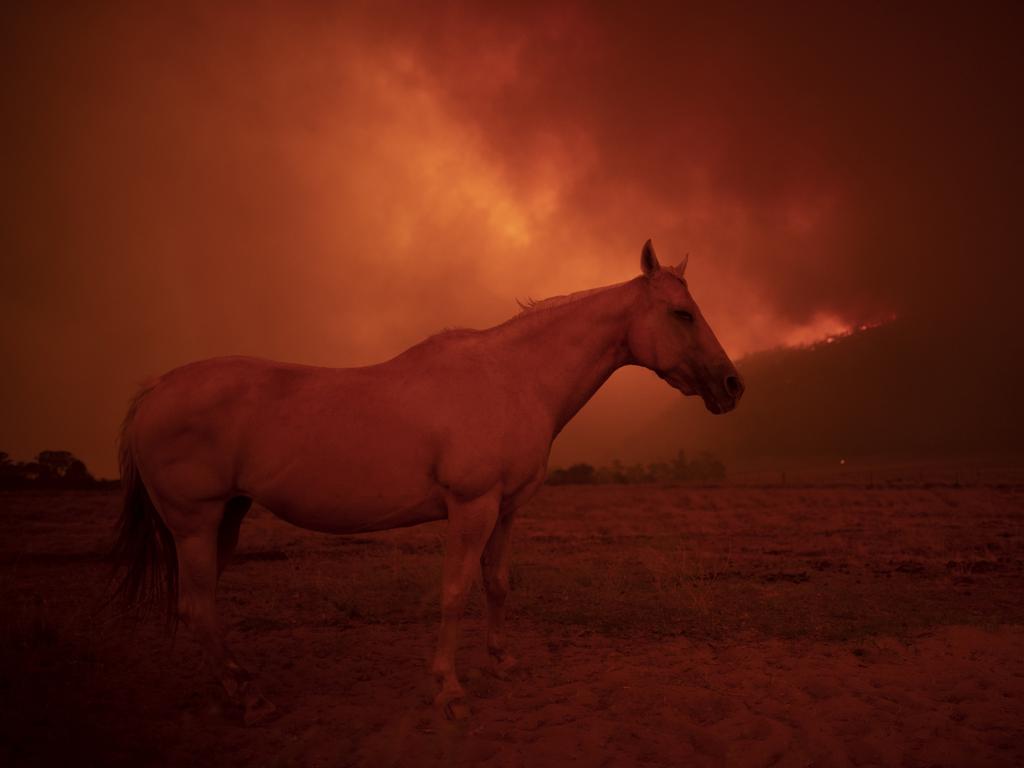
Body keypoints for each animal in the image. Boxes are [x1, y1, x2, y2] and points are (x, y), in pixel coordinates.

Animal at [112, 241, 745, 729]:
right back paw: (251, 701)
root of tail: (156, 389)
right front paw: (450, 691)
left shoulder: (505, 510)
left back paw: (235, 686)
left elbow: (498, 584)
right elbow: (455, 592)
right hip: (195, 523)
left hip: (228, 518)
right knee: (198, 609)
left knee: (201, 609)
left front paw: (502, 662)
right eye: (683, 313)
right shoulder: (472, 507)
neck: (512, 378)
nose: (732, 385)